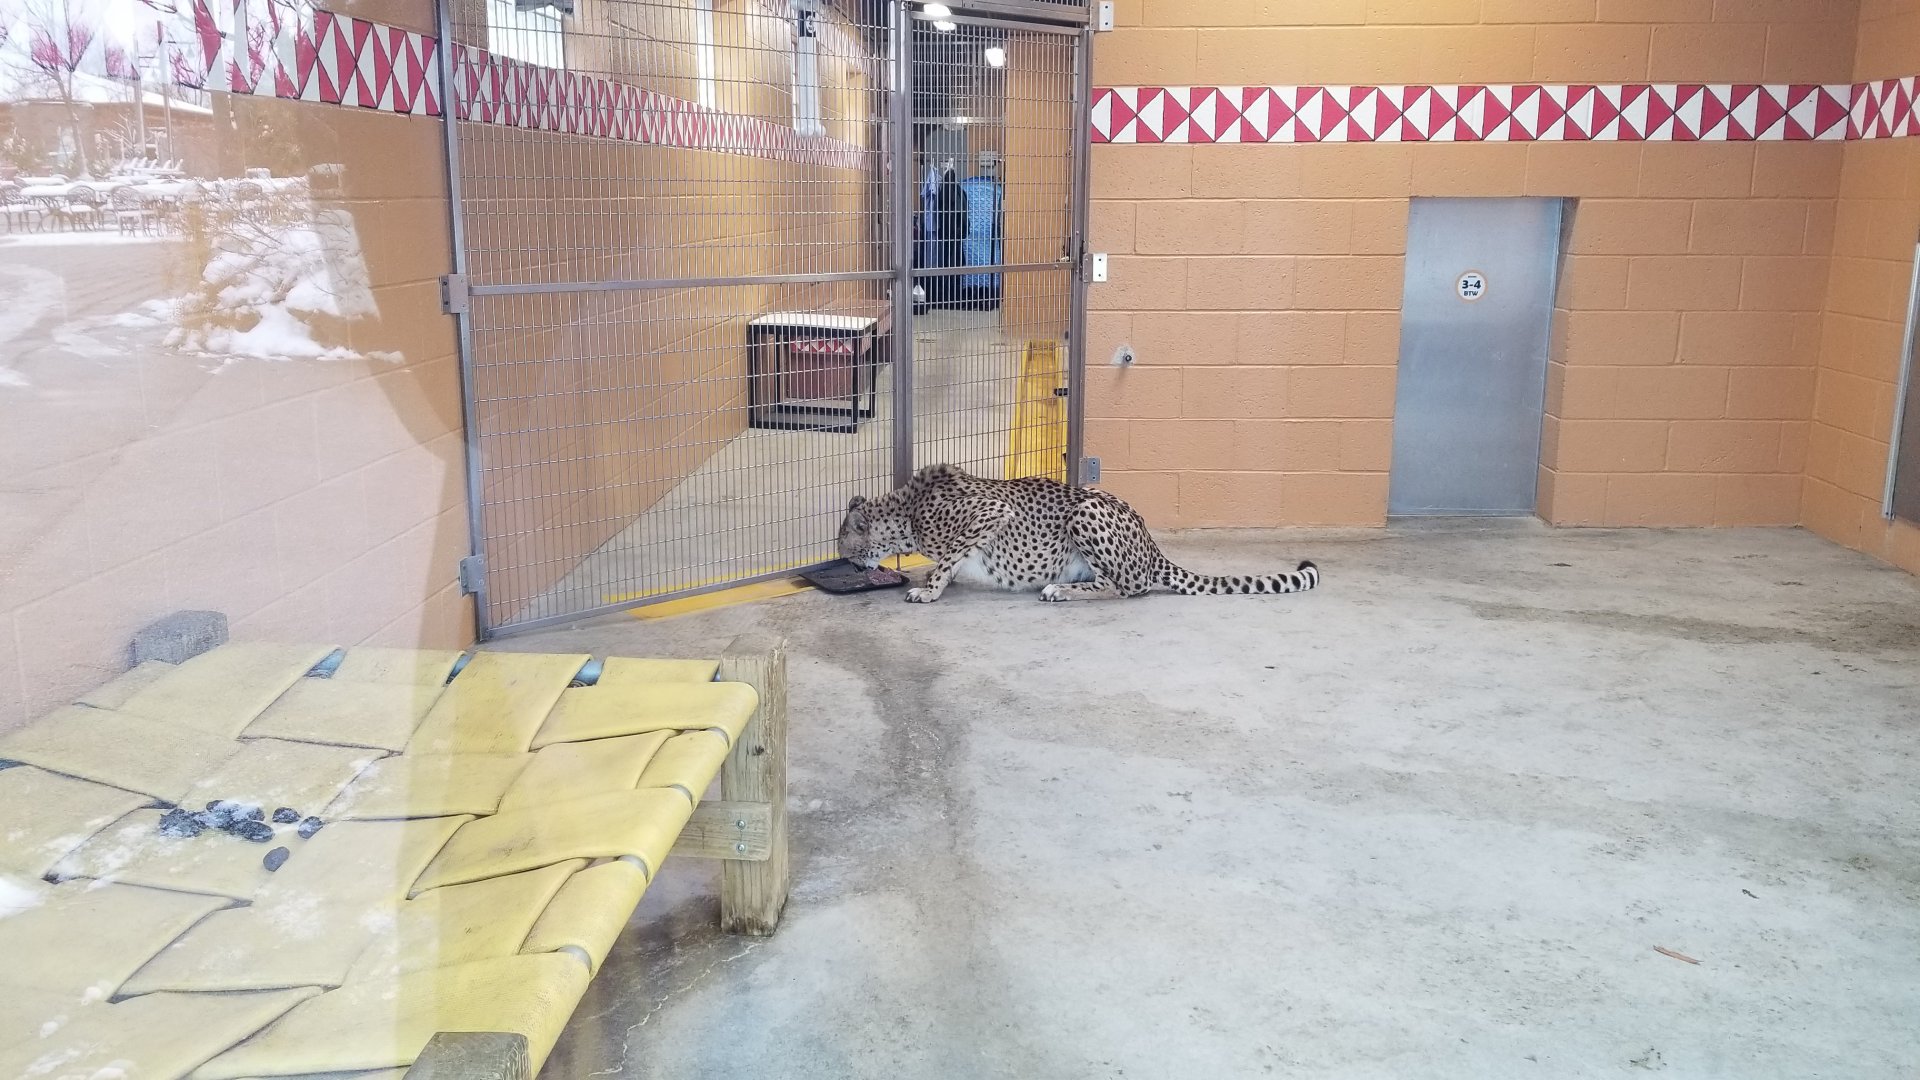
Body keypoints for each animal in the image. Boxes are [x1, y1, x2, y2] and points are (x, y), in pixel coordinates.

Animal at [837, 463, 1320, 604]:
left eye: (845, 547)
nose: (849, 565)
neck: (905, 512)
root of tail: (1151, 544)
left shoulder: (992, 512)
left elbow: (950, 556)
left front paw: (929, 590)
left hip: (1086, 510)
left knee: (1128, 587)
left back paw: (1060, 590)